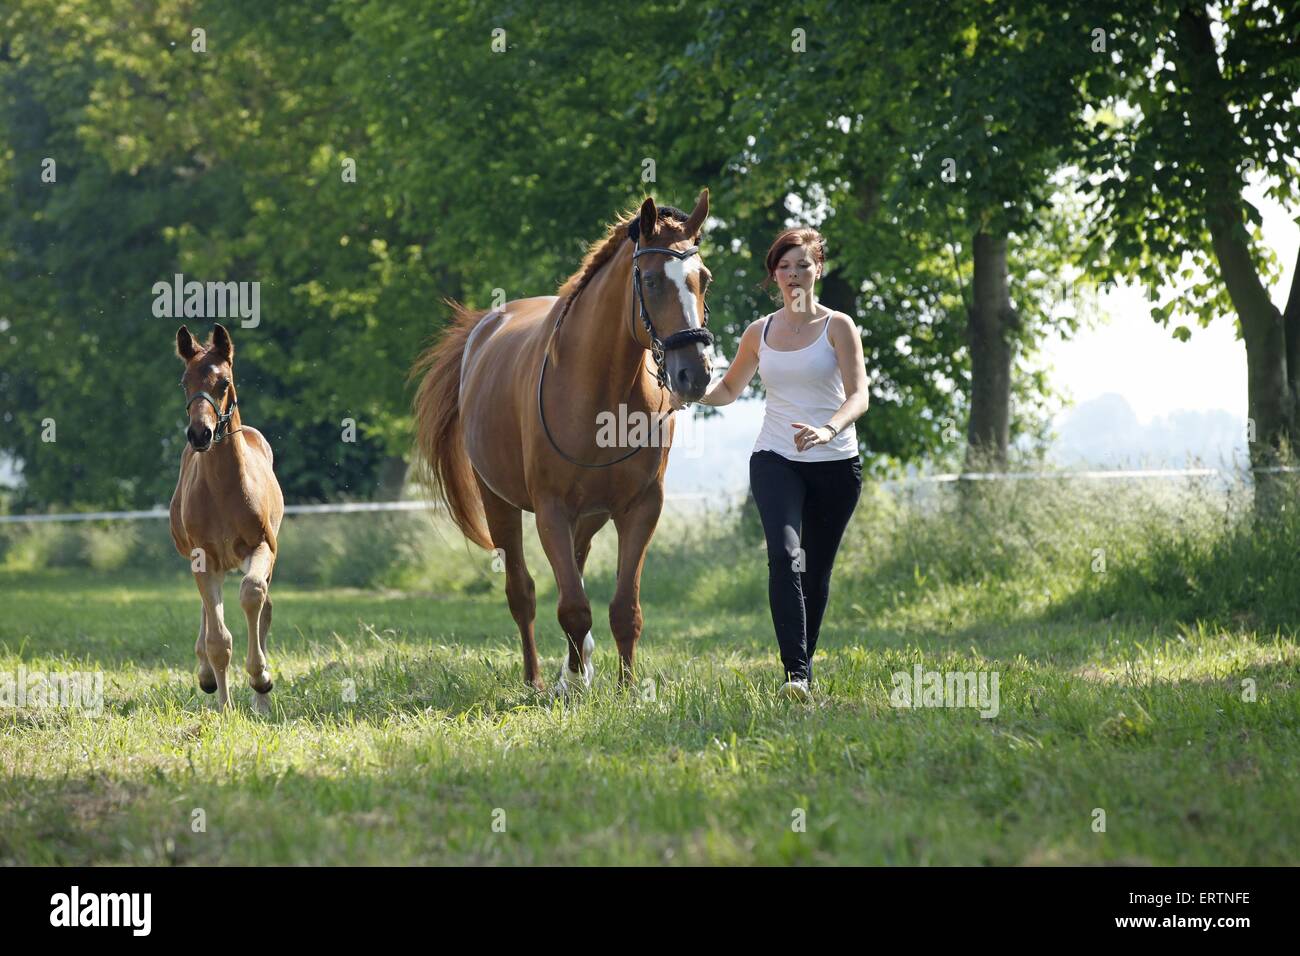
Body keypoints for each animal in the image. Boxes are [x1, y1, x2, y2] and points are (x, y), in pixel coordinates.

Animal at [170, 325, 284, 712]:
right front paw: (224, 708)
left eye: (224, 382)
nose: (199, 434)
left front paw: (261, 679)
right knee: (208, 613)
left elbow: (253, 594)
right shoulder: (203, 556)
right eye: (184, 382)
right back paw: (206, 676)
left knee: (264, 605)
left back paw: (261, 700)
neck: (222, 489)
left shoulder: (262, 546)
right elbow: (218, 640)